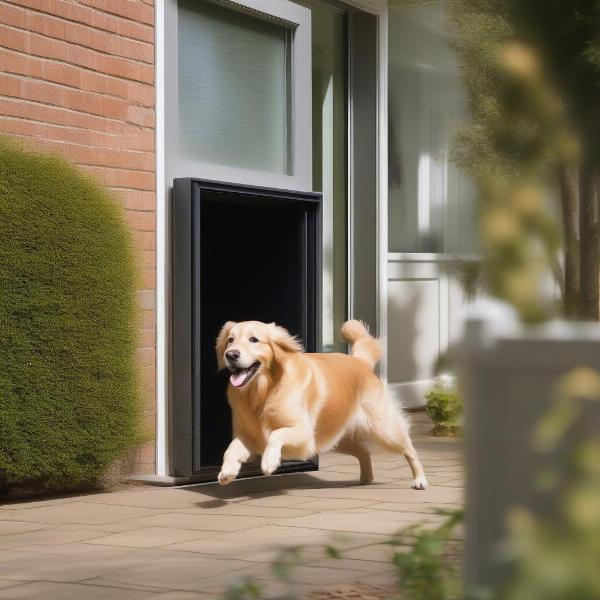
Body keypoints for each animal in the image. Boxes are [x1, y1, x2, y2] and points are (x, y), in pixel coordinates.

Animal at [214, 318, 426, 488]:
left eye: (254, 340)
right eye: (230, 340)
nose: (231, 355)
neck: (263, 392)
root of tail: (360, 361)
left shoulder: (304, 435)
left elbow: (276, 434)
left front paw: (269, 461)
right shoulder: (249, 434)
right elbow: (231, 449)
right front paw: (227, 471)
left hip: (384, 430)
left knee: (410, 449)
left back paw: (420, 480)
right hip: (334, 438)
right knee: (364, 451)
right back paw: (366, 477)